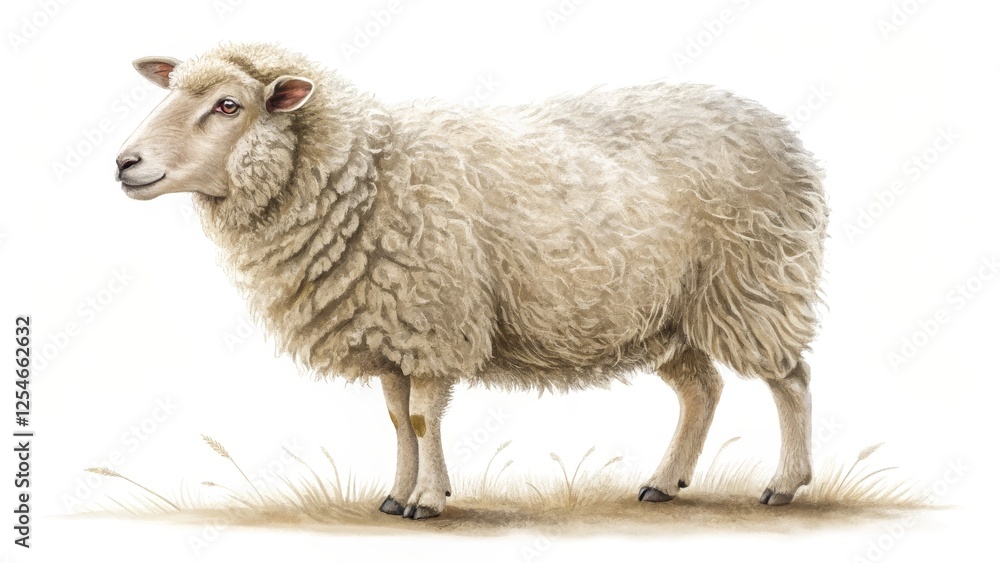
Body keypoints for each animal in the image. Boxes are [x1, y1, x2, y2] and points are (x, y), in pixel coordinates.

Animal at [116, 42, 828, 519]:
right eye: (169, 93)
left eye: (228, 105)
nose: (125, 162)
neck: (366, 174)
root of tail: (782, 134)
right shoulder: (390, 332)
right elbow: (397, 420)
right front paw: (396, 493)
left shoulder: (433, 320)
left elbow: (422, 418)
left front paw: (428, 499)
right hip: (666, 314)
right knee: (702, 390)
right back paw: (663, 481)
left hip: (752, 283)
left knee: (791, 380)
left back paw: (785, 484)